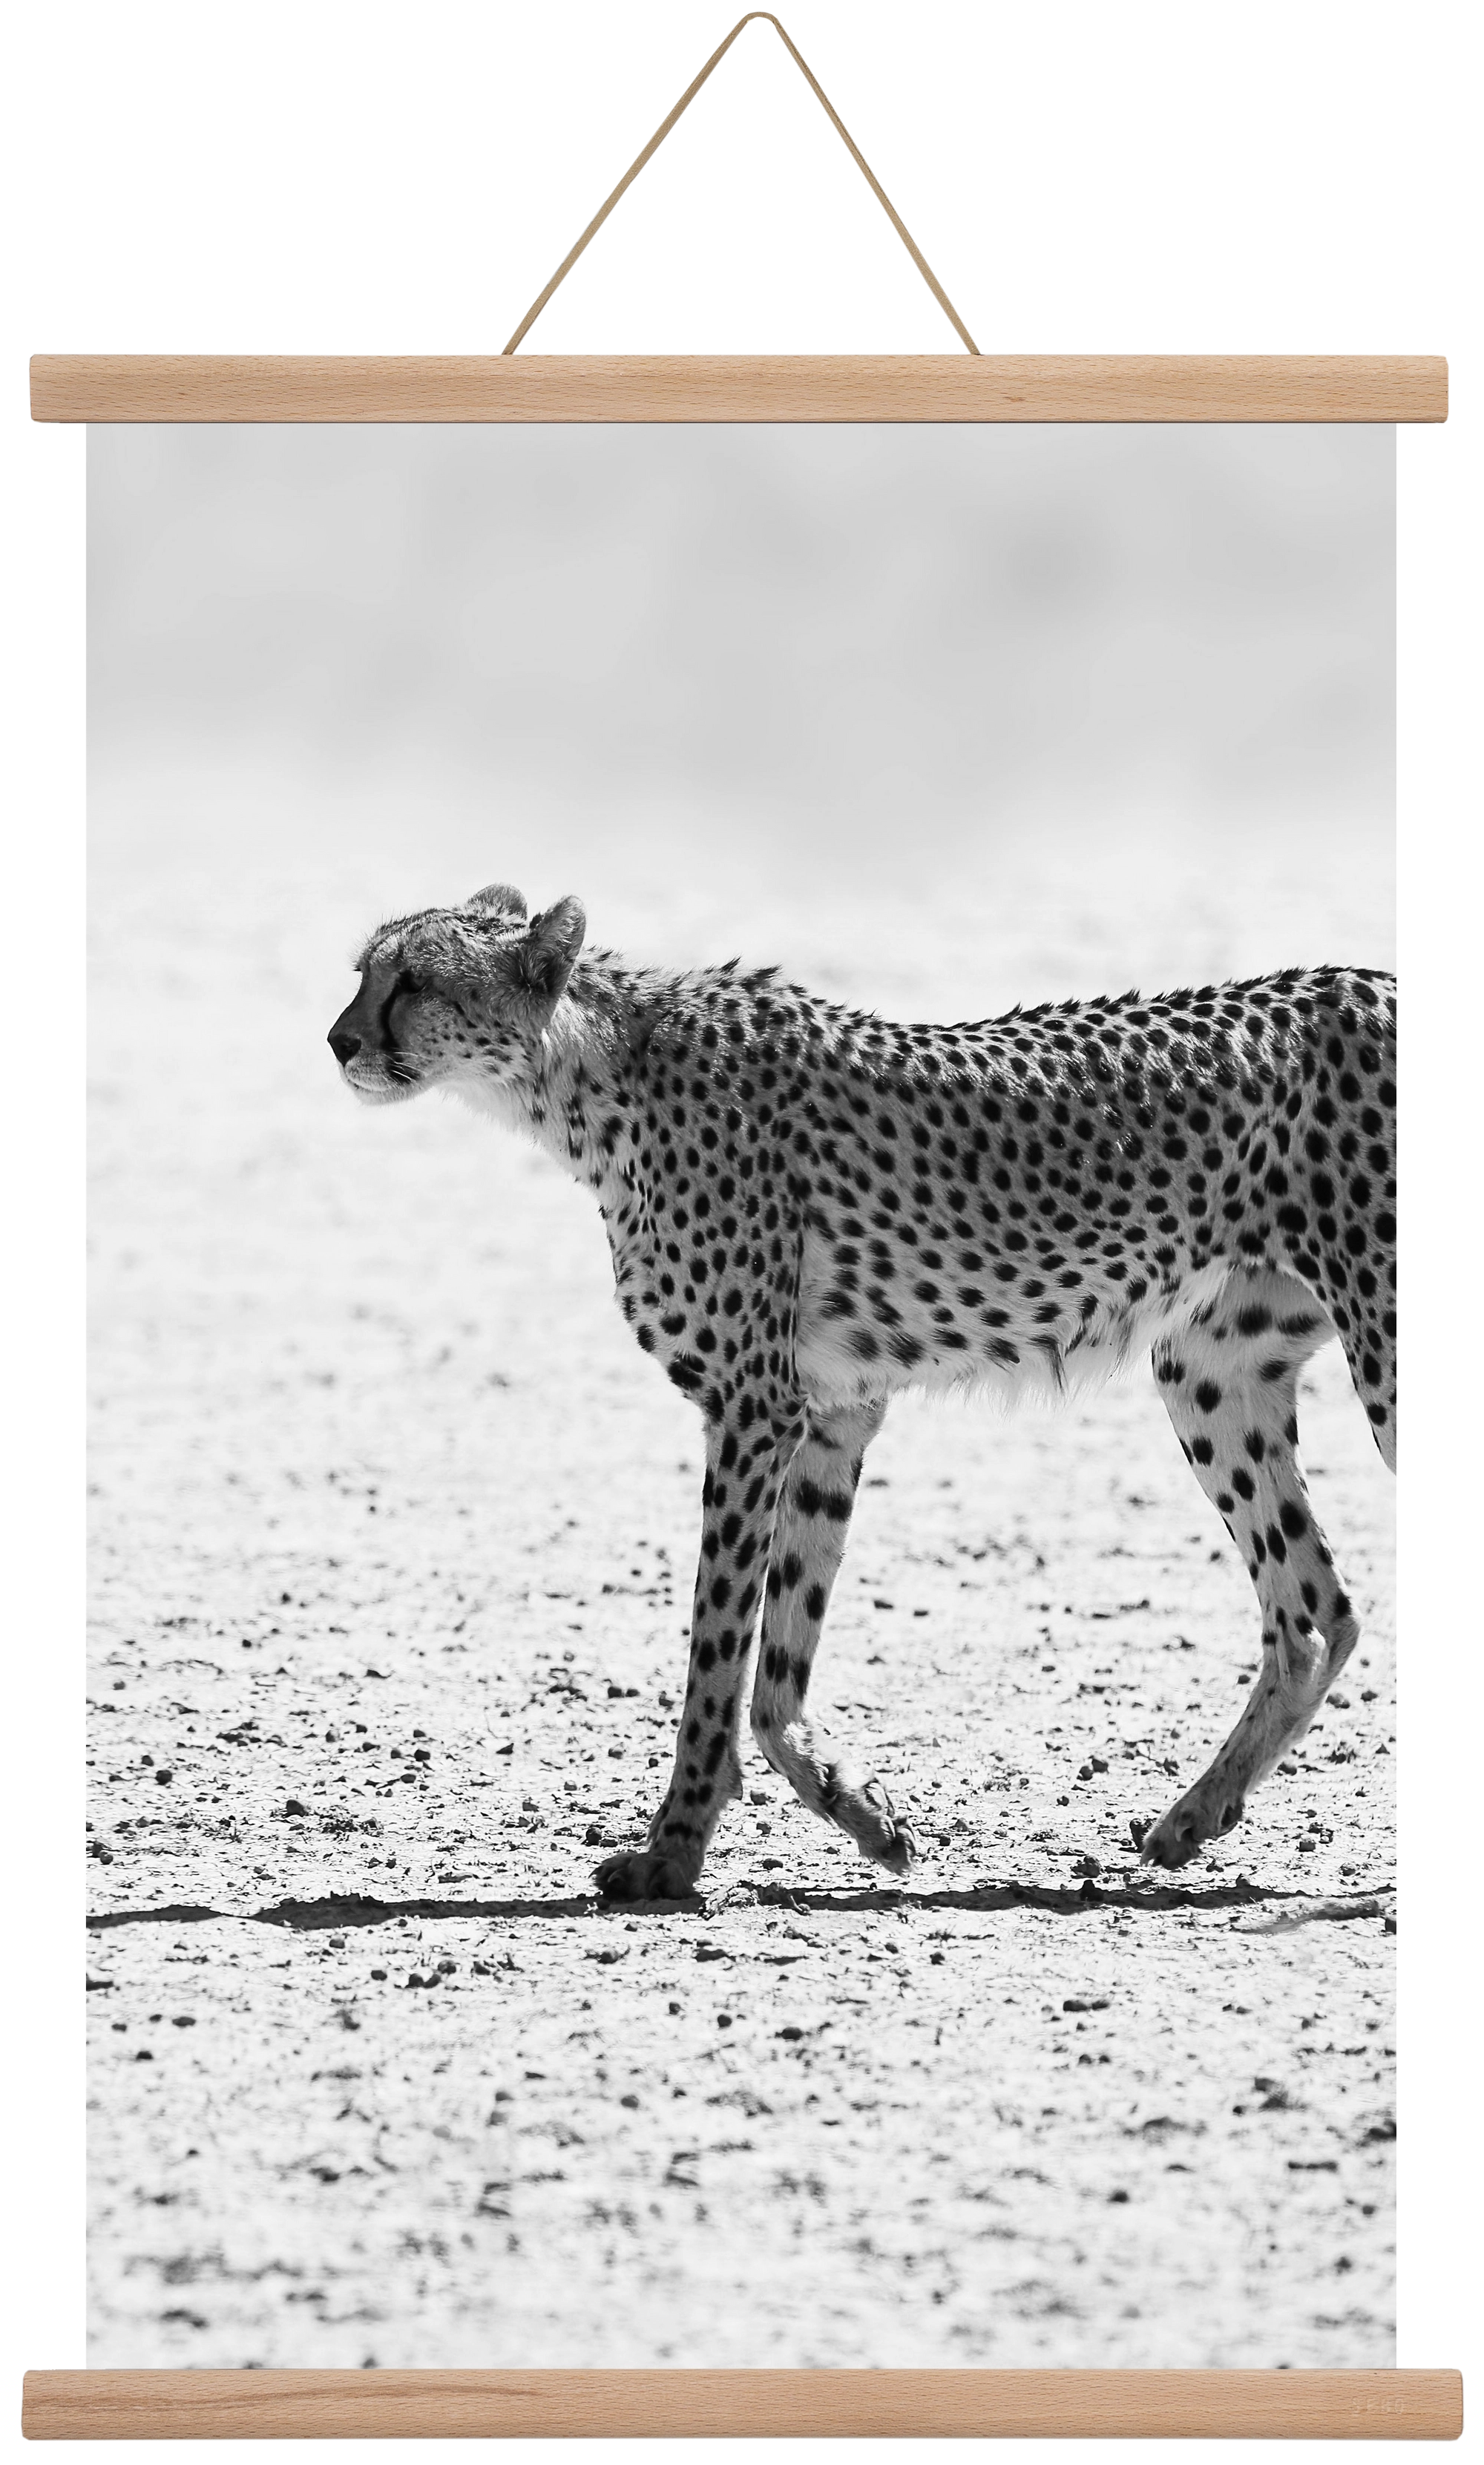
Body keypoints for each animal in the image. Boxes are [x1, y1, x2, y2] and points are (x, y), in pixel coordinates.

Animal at [329, 882, 1397, 1901]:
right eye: (362, 972)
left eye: (413, 981)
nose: (338, 1040)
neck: (586, 1073)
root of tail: (1370, 978)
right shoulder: (832, 1411)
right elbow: (777, 1667)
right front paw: (866, 1818)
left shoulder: (752, 1407)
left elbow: (716, 1650)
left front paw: (671, 1854)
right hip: (1209, 1370)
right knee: (1313, 1611)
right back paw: (1192, 1817)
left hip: (1376, 1352)